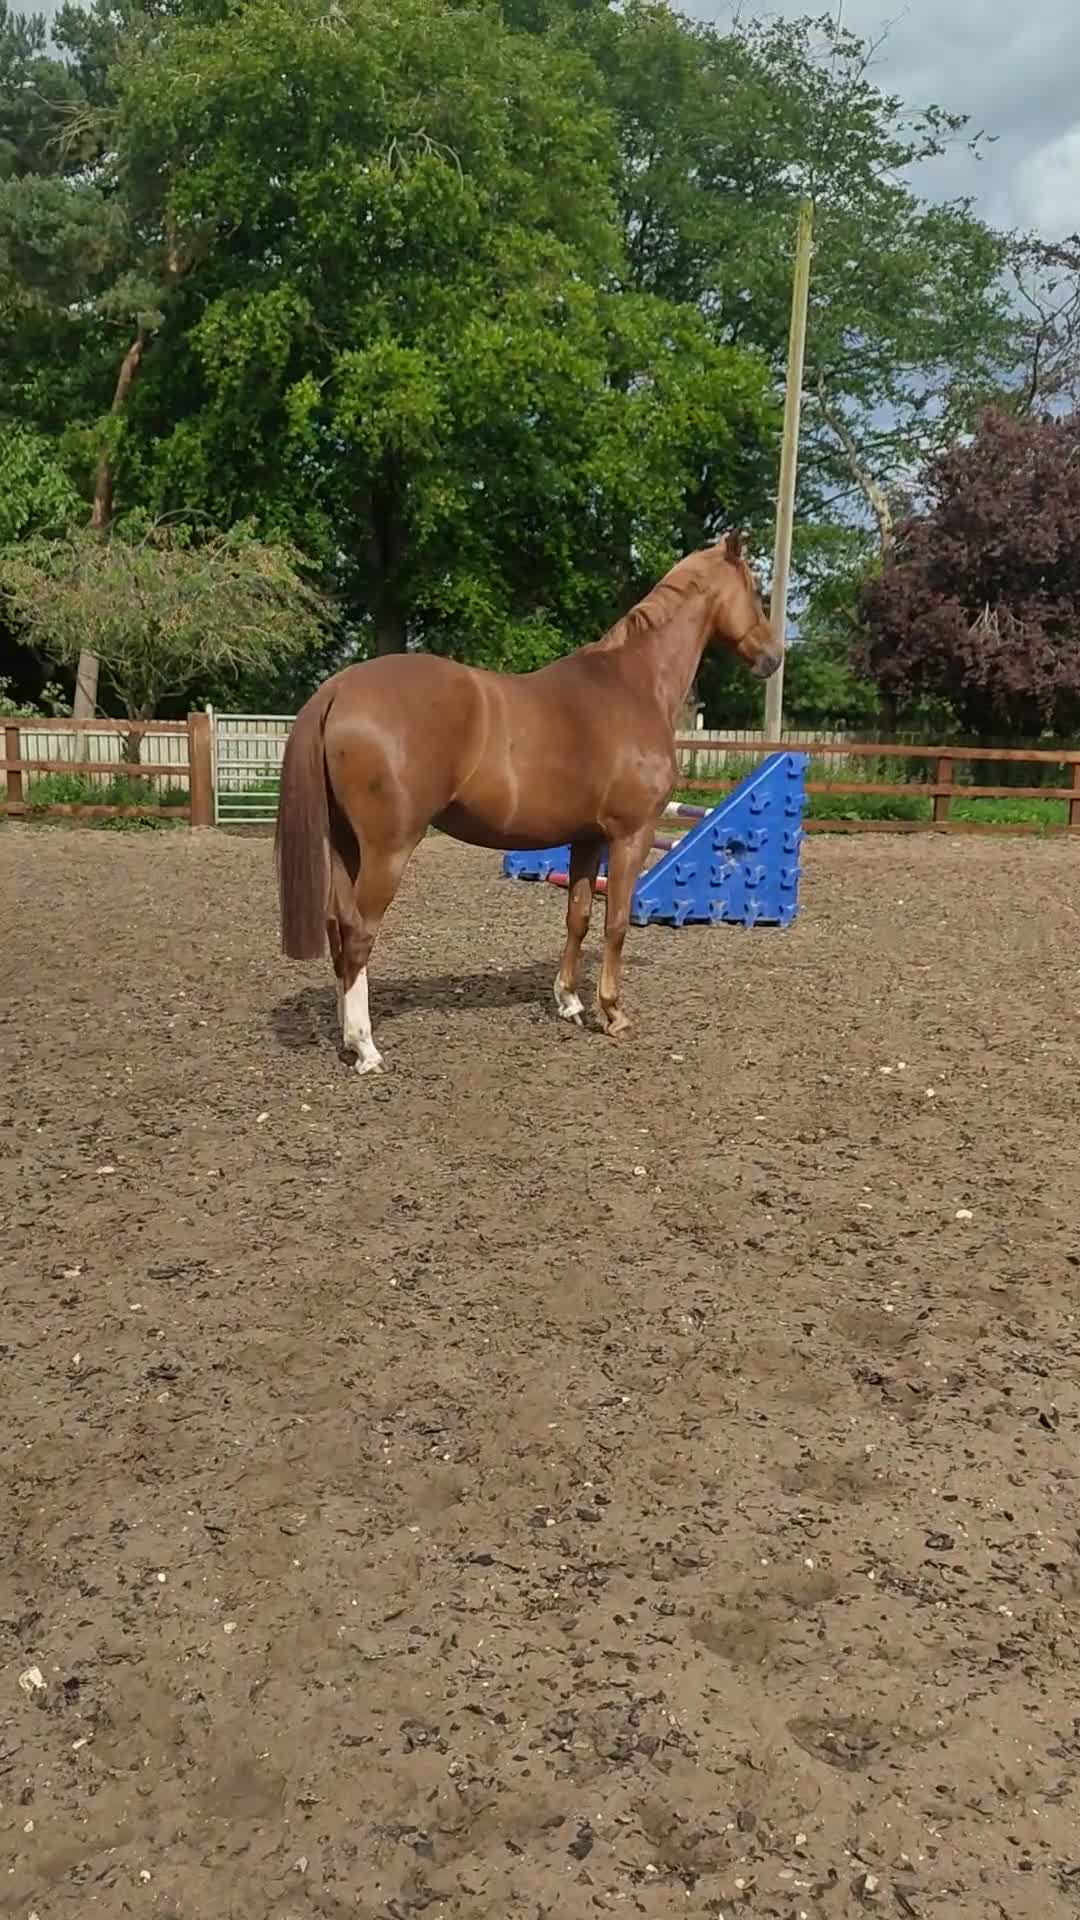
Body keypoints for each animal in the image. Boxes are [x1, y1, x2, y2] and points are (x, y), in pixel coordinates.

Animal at [274, 533, 781, 1074]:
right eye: (755, 590)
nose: (773, 657)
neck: (633, 684)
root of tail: (338, 689)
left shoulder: (587, 838)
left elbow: (578, 916)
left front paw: (570, 1002)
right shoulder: (632, 834)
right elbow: (617, 922)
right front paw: (612, 1013)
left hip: (346, 846)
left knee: (338, 927)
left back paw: (348, 1037)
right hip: (387, 850)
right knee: (359, 934)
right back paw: (366, 1048)